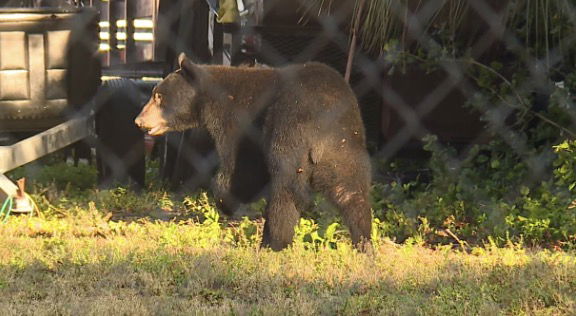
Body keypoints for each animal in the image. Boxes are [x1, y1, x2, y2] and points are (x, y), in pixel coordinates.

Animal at [134, 54, 374, 252]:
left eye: (158, 96)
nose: (139, 121)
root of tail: (324, 118)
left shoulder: (239, 122)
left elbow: (242, 169)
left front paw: (226, 200)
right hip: (345, 148)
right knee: (351, 192)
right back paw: (364, 243)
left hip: (290, 129)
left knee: (285, 190)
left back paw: (274, 242)